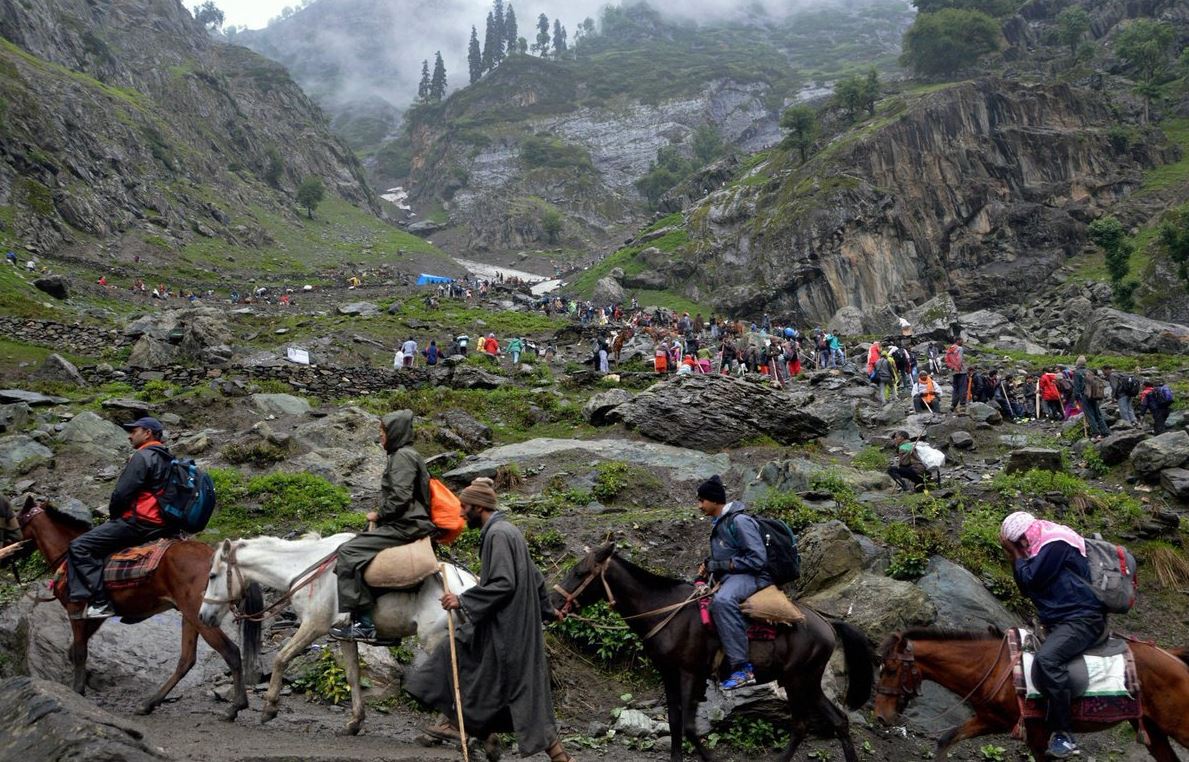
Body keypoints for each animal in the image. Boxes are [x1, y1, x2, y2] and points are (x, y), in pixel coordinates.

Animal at [14, 494, 260, 718]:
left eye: (14, 522)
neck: (66, 554)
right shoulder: (95, 617)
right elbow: (74, 649)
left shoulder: (76, 611)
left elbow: (80, 651)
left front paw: (77, 691)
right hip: (190, 615)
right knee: (186, 660)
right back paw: (149, 703)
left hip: (199, 615)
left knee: (230, 651)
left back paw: (235, 707)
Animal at [199, 532, 473, 732]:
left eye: (212, 575)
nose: (203, 616)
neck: (304, 568)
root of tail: (465, 588)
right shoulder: (344, 636)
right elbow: (352, 675)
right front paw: (355, 722)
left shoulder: (313, 625)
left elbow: (281, 658)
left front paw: (269, 708)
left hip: (436, 640)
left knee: (453, 680)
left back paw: (443, 731)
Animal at [549, 544, 875, 760]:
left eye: (579, 572)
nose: (552, 604)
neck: (665, 610)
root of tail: (827, 622)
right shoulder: (668, 674)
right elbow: (675, 723)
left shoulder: (690, 675)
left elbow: (691, 728)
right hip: (808, 681)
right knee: (838, 721)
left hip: (797, 681)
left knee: (801, 726)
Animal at [875, 627, 1189, 760]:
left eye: (890, 669)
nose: (879, 716)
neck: (995, 667)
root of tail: (1174, 658)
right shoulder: (990, 720)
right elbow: (946, 739)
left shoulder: (1037, 734)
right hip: (1152, 729)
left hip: (1179, 725)